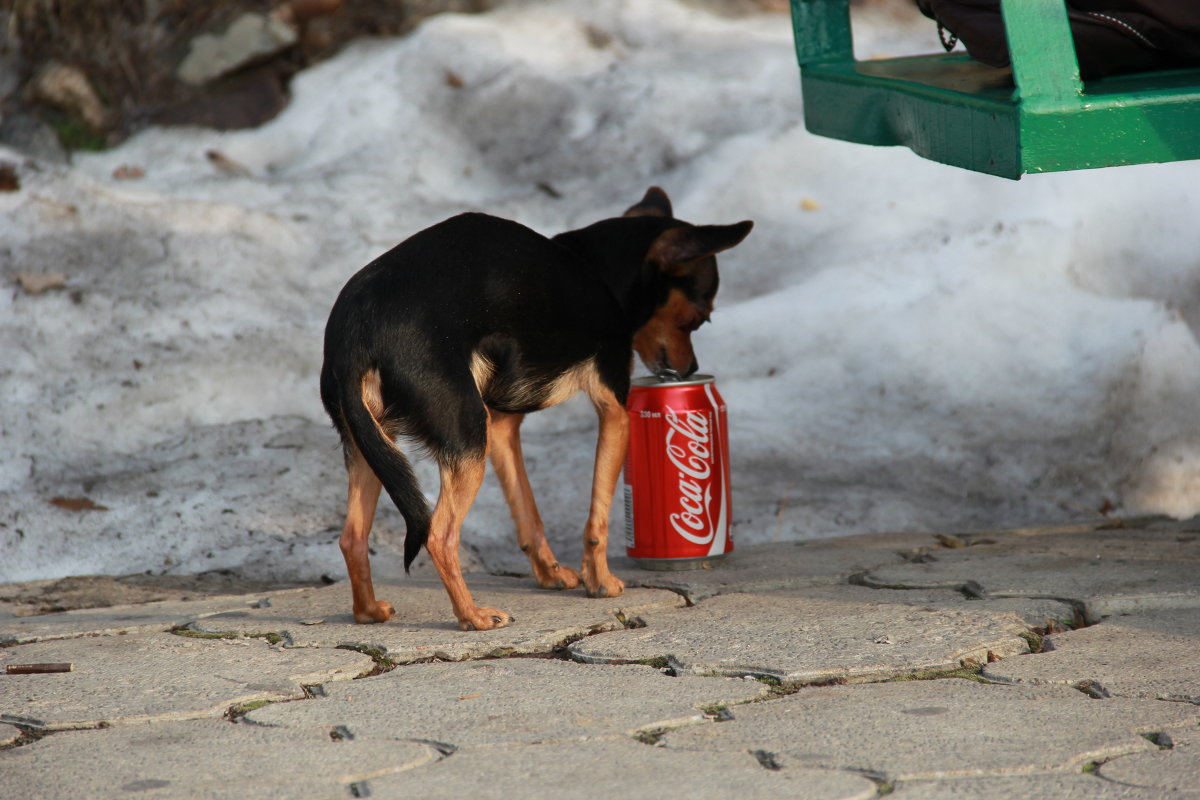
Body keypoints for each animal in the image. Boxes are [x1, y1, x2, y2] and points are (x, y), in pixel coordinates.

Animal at [319, 190, 748, 628]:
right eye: (698, 319)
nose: (691, 370)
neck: (595, 266)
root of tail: (357, 335)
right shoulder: (615, 409)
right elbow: (598, 516)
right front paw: (601, 580)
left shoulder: (503, 426)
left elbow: (527, 510)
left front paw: (550, 572)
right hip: (465, 437)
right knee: (439, 534)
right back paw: (472, 615)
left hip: (373, 443)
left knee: (352, 536)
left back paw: (369, 610)